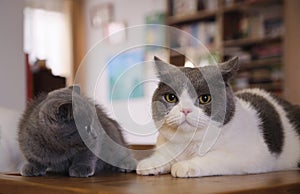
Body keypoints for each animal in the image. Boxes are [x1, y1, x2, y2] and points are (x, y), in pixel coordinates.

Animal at [137, 55, 300, 177]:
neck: (189, 144)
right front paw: (152, 162)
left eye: (205, 98)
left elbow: (214, 157)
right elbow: (166, 155)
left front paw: (185, 165)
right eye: (171, 98)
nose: (185, 110)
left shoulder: (254, 154)